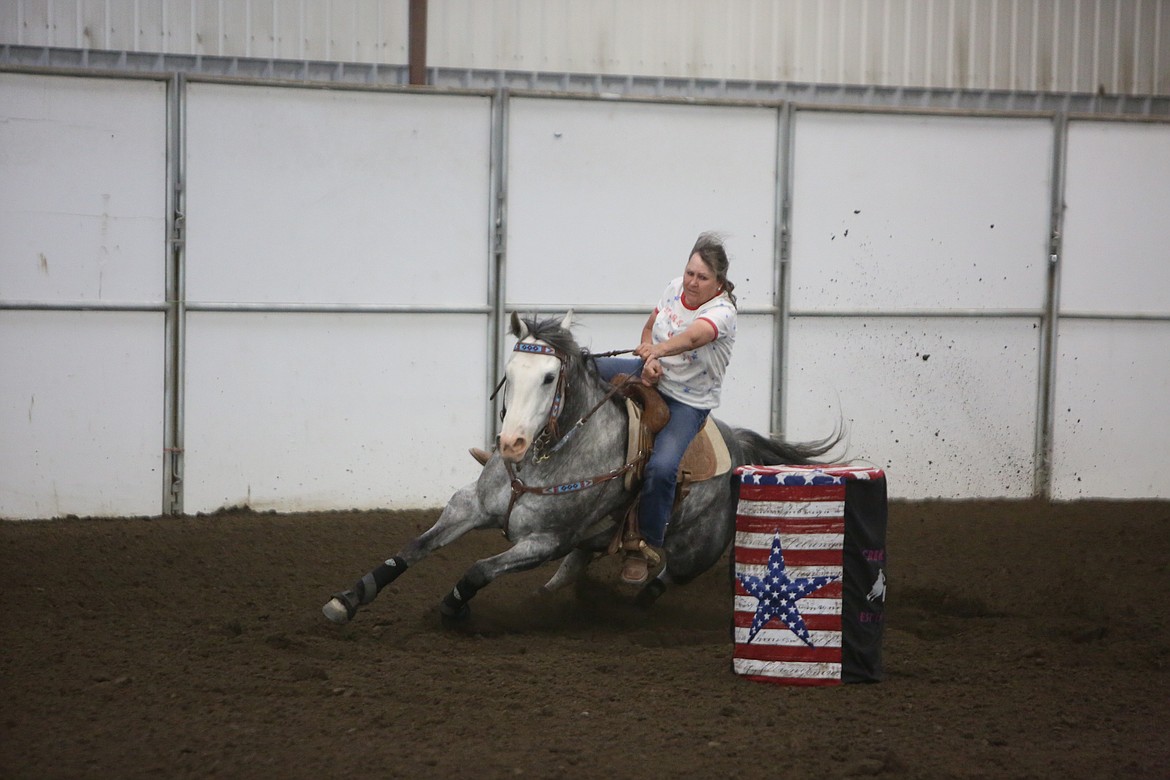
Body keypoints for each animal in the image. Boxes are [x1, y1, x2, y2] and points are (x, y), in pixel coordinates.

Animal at [322, 311, 842, 622]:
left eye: (550, 376)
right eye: (510, 373)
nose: (510, 442)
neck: (544, 460)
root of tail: (738, 445)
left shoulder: (543, 542)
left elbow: (477, 571)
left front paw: (451, 611)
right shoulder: (468, 505)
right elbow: (410, 550)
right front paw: (347, 599)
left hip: (696, 552)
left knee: (665, 579)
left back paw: (631, 603)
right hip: (594, 541)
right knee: (572, 571)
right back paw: (545, 601)